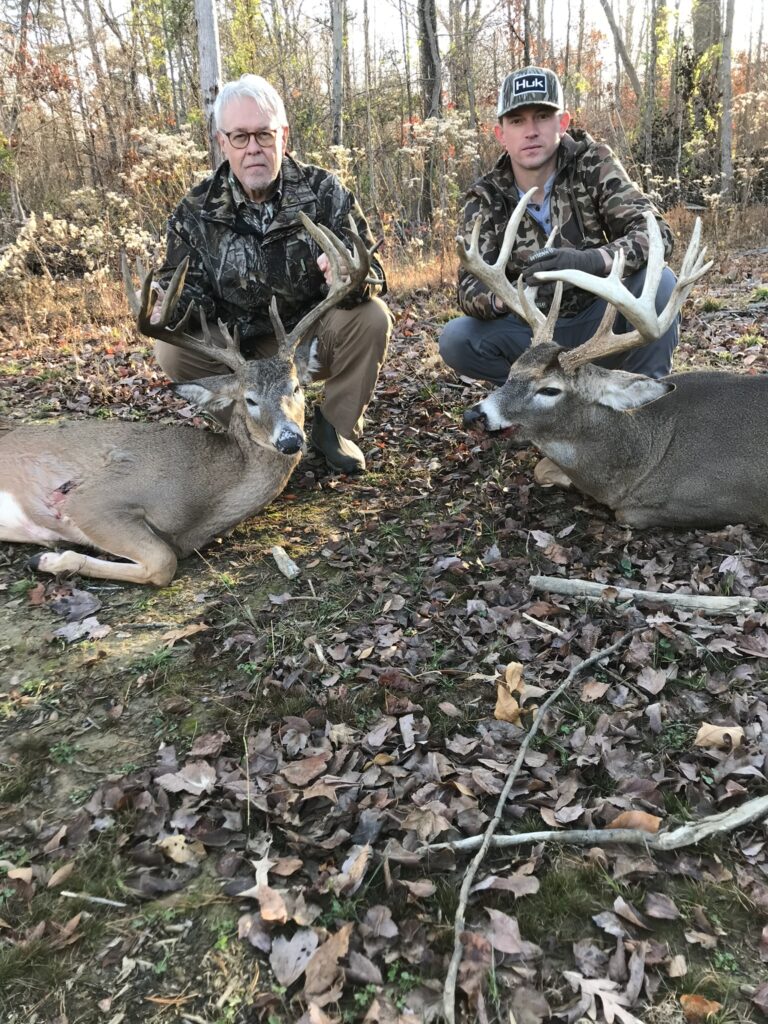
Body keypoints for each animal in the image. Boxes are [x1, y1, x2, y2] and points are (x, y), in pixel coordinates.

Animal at [0, 213, 373, 585]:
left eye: (295, 387)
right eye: (249, 399)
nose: (290, 440)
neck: (204, 504)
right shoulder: (90, 498)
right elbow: (163, 562)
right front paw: (46, 559)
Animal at [459, 189, 768, 529]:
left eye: (550, 389)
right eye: (512, 370)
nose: (475, 414)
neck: (640, 455)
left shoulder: (705, 499)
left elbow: (625, 512)